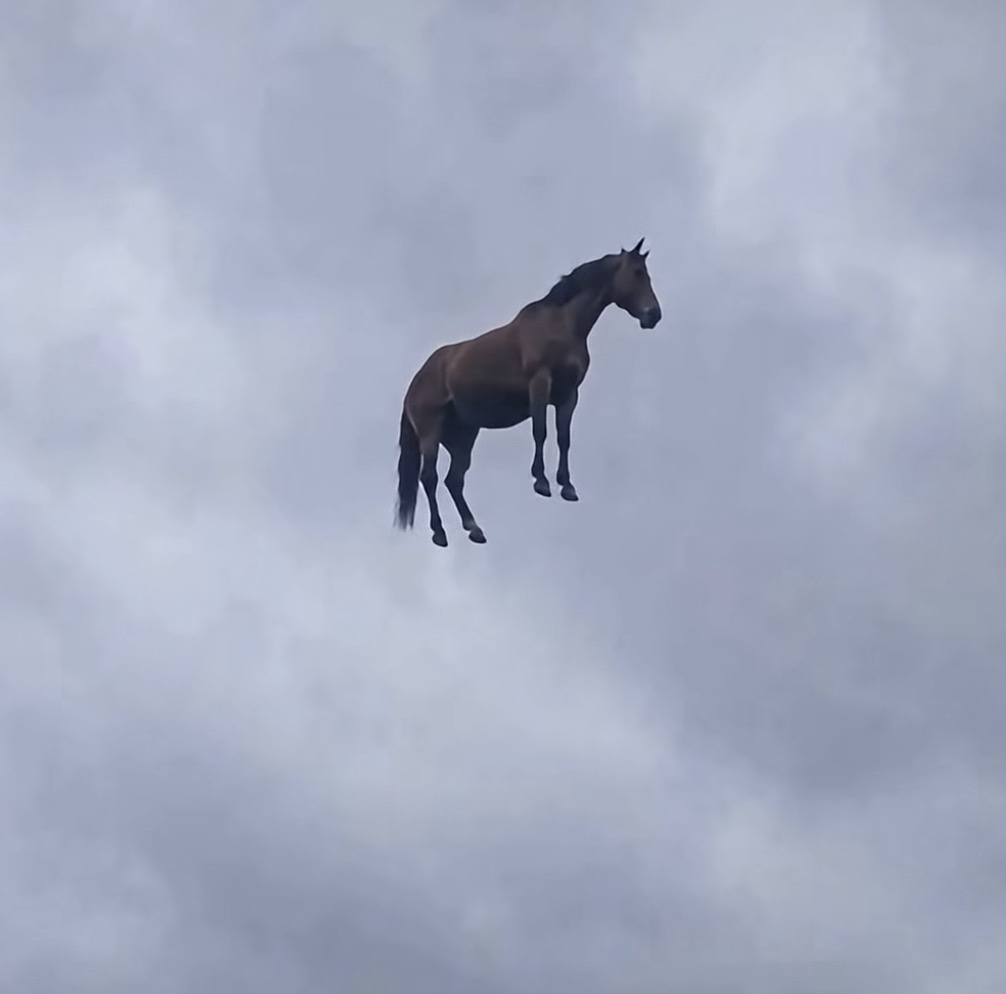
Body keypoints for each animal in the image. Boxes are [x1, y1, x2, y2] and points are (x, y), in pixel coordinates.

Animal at [394, 237, 662, 547]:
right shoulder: (540, 383)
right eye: (637, 273)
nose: (654, 315)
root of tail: (416, 381)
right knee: (430, 478)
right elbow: (540, 431)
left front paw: (567, 486)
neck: (562, 324)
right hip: (431, 432)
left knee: (454, 481)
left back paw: (474, 528)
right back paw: (439, 531)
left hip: (463, 437)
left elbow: (563, 438)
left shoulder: (568, 396)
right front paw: (542, 481)